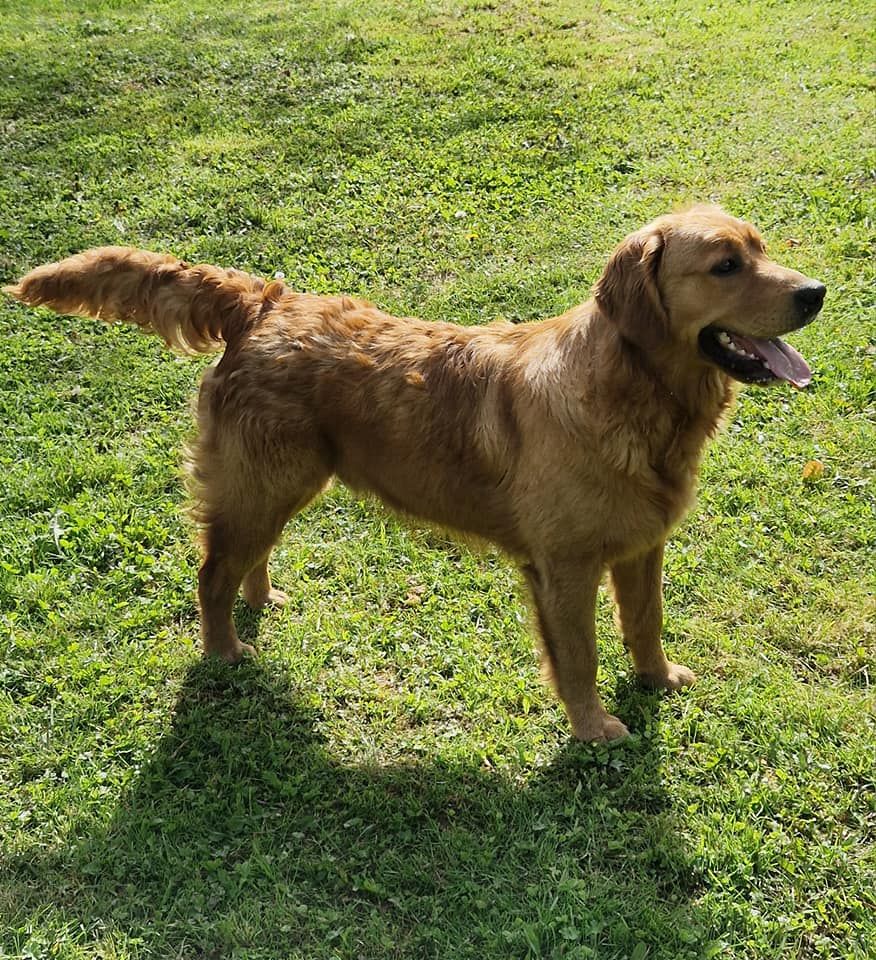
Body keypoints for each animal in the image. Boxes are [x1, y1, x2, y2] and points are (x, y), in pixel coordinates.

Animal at [5, 206, 825, 741]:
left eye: (761, 248)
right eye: (725, 265)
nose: (815, 292)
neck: (635, 394)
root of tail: (263, 303)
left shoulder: (643, 545)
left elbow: (646, 622)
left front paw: (658, 680)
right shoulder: (564, 567)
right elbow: (582, 658)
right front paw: (595, 729)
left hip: (282, 482)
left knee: (246, 560)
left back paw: (262, 600)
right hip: (262, 482)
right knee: (210, 574)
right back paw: (225, 652)